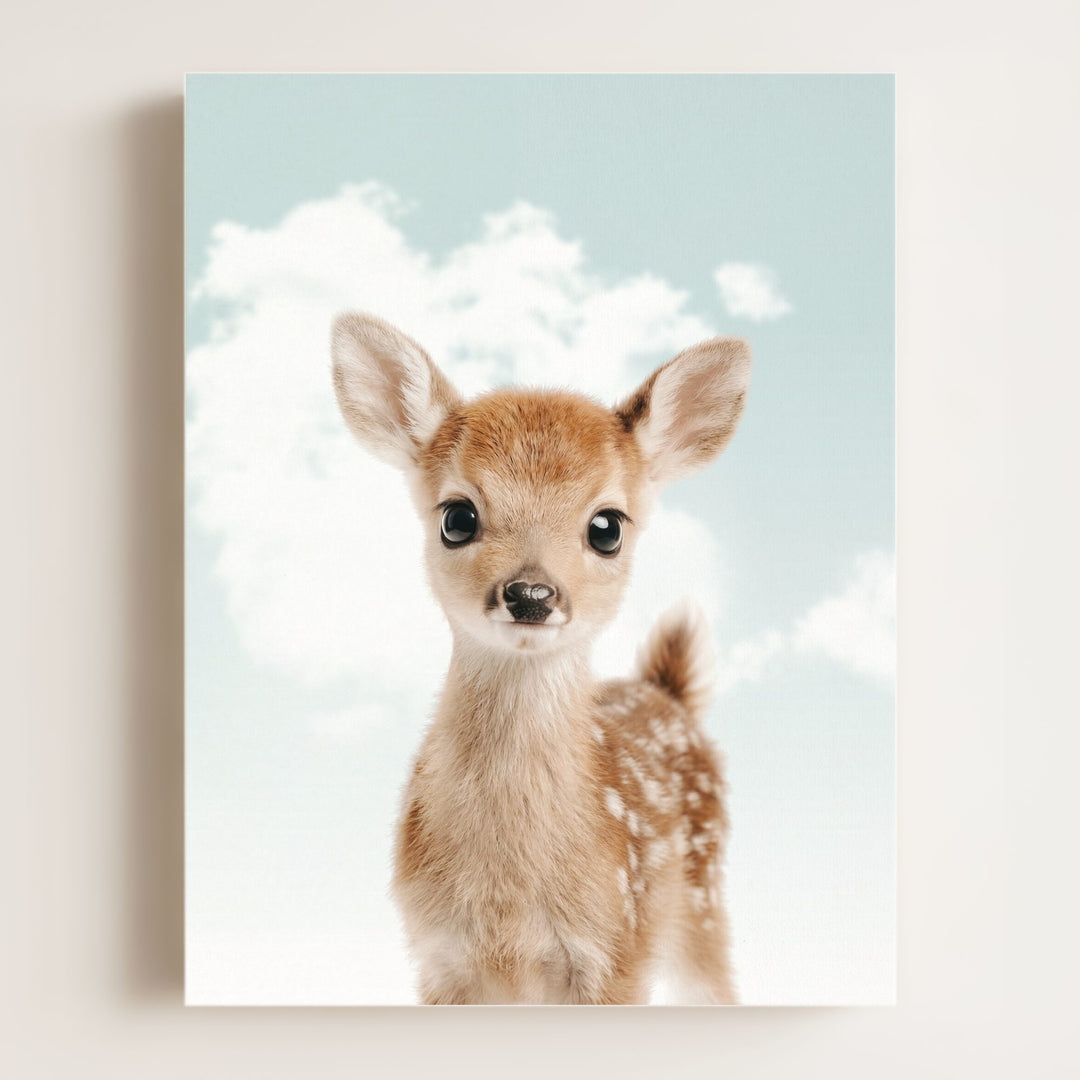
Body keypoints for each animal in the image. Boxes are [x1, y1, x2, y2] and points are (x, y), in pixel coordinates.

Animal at [331, 312, 751, 1004]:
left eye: (607, 527)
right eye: (457, 516)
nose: (531, 594)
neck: (509, 905)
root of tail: (667, 692)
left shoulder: (616, 950)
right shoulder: (438, 957)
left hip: (703, 900)